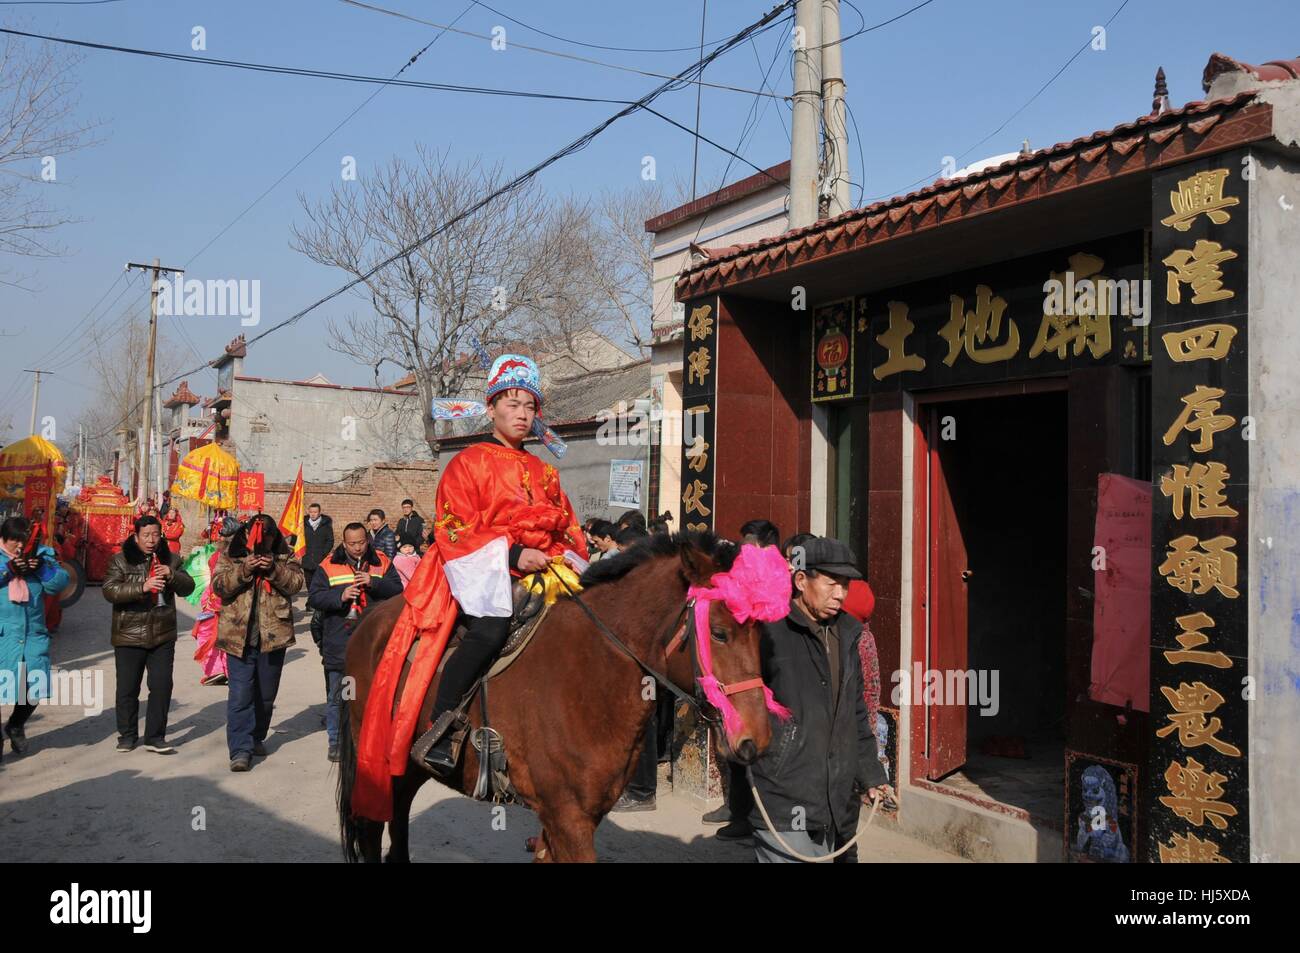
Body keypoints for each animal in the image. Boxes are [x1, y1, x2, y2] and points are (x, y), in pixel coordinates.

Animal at [340, 530, 774, 858]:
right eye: (719, 632)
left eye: (761, 634)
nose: (754, 739)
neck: (591, 674)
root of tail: (370, 618)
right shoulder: (569, 819)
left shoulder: (572, 817)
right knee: (370, 827)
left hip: (405, 763)